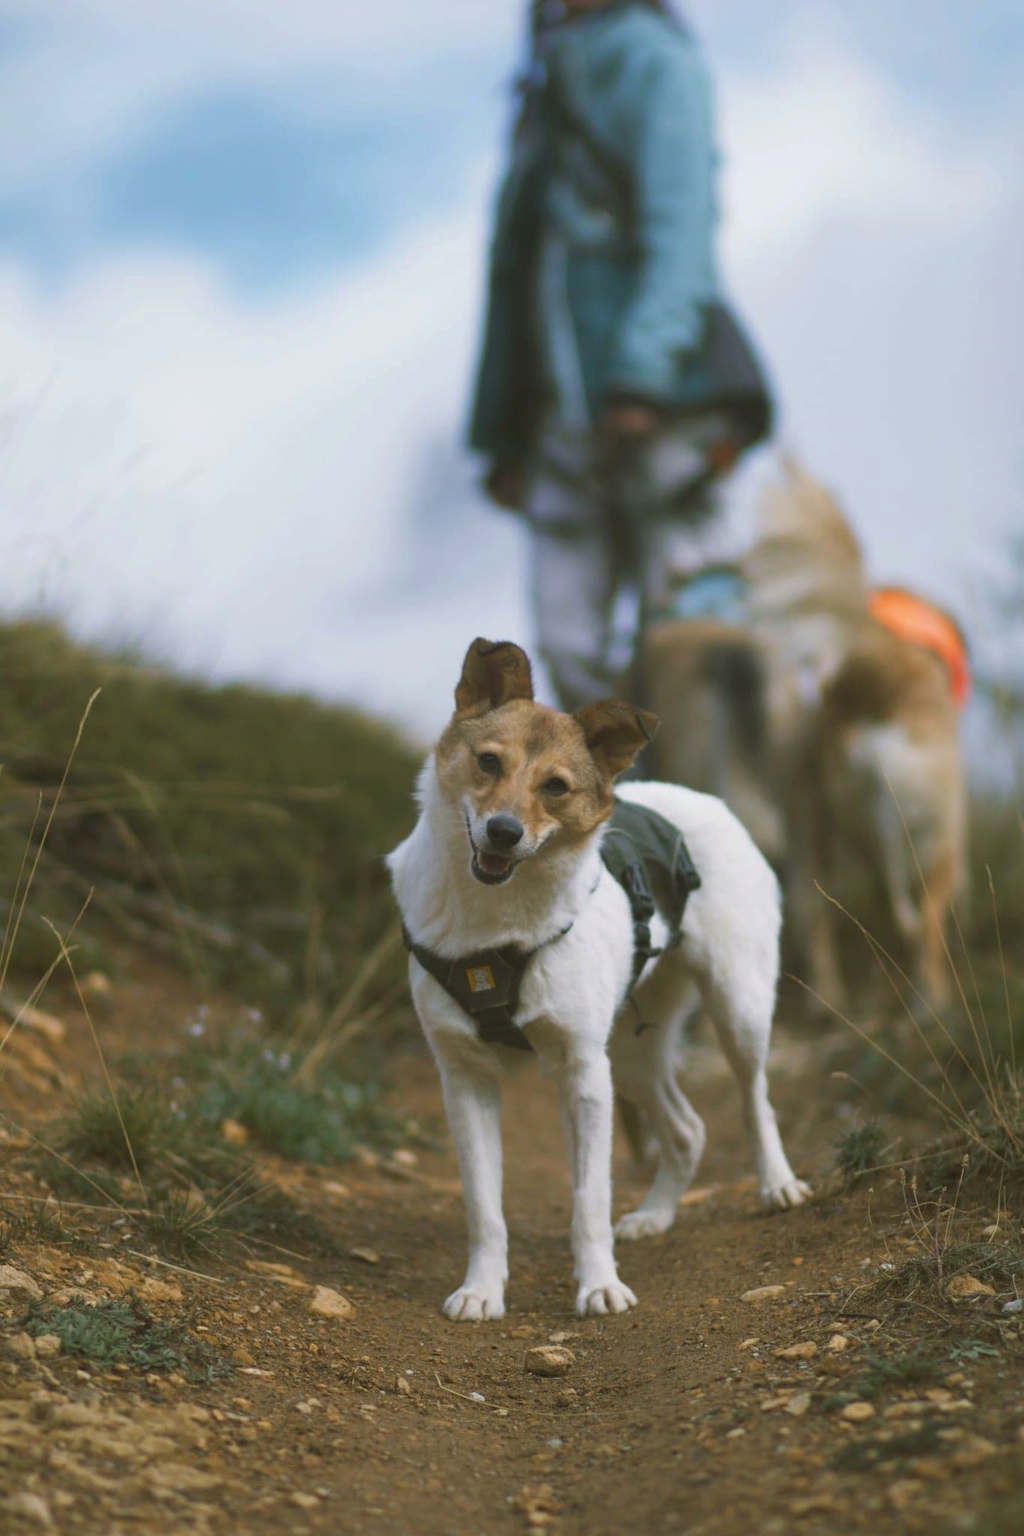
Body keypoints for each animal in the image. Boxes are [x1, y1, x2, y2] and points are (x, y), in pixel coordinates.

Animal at [386, 635, 810, 1320]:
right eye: (487, 762)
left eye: (556, 787)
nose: (503, 832)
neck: (498, 923)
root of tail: (702, 798)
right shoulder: (466, 1079)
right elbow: (485, 1206)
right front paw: (482, 1288)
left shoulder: (583, 1075)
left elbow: (589, 1199)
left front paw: (598, 1285)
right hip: (631, 1053)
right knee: (687, 1131)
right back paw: (655, 1216)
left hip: (737, 1009)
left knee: (755, 1100)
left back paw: (778, 1183)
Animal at [739, 460, 964, 1013]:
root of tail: (871, 669)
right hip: (935, 828)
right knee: (924, 924)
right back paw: (932, 999)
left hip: (817, 825)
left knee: (814, 910)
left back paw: (829, 1000)